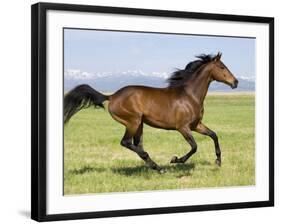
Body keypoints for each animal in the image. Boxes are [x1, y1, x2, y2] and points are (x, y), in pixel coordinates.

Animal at [63, 52, 236, 173]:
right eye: (222, 67)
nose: (235, 82)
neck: (189, 96)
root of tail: (111, 96)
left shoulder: (196, 125)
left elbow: (214, 135)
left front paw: (218, 161)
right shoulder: (183, 128)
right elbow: (194, 147)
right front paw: (175, 160)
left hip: (139, 124)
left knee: (137, 145)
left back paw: (157, 167)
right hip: (133, 122)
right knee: (127, 143)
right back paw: (158, 166)